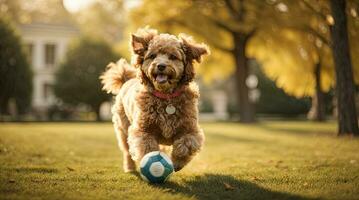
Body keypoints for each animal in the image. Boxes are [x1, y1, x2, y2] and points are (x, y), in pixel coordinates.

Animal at [100, 28, 210, 172]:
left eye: (173, 57)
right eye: (152, 56)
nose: (161, 66)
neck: (166, 98)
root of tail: (126, 81)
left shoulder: (190, 130)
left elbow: (185, 145)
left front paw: (177, 162)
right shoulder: (142, 131)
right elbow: (148, 148)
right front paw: (154, 164)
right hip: (123, 129)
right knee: (127, 151)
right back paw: (130, 167)